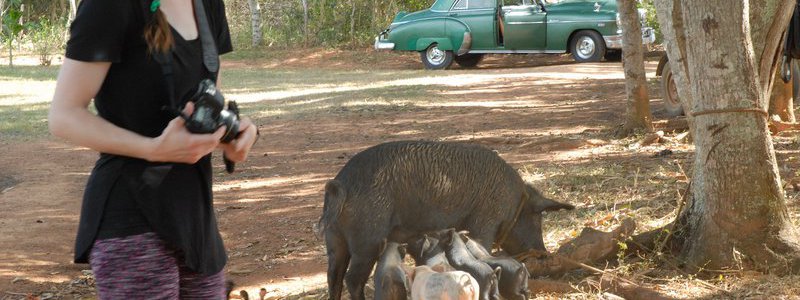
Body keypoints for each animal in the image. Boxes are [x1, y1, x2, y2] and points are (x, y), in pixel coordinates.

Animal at [318, 141, 576, 300]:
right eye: (537, 219)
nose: (544, 253)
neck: (515, 201)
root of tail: (340, 183)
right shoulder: (486, 220)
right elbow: (484, 245)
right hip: (366, 238)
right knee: (352, 278)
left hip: (335, 239)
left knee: (334, 275)